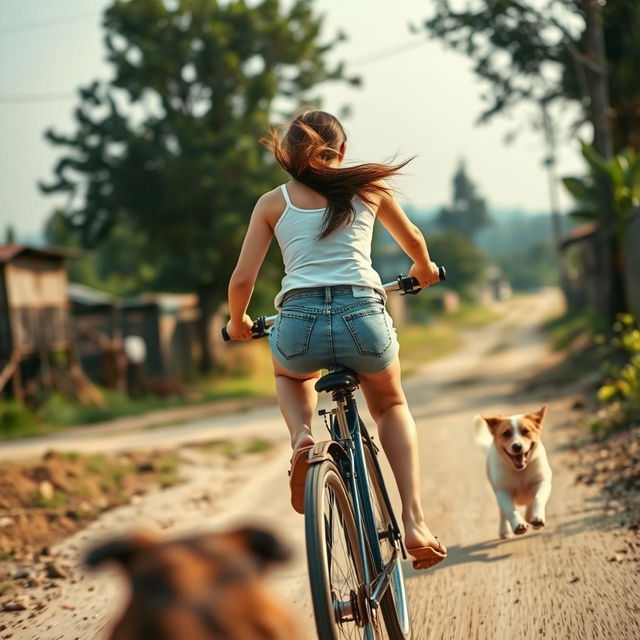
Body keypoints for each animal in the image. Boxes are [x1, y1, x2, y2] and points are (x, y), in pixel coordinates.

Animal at [472, 408, 552, 536]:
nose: (517, 446)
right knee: (502, 512)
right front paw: (518, 525)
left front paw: (537, 517)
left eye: (525, 431)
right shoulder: (503, 492)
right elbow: (510, 509)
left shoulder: (542, 482)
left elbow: (538, 498)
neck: (520, 472)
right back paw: (504, 530)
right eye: (506, 433)